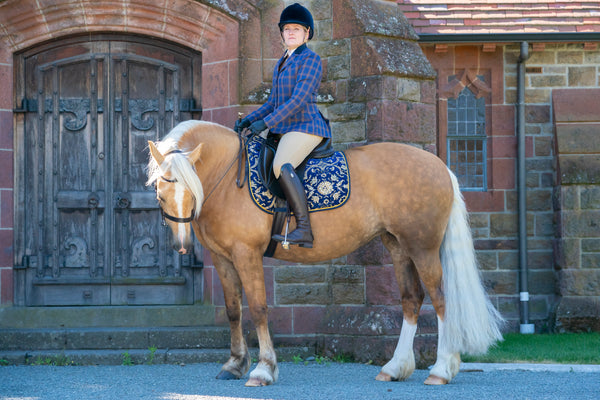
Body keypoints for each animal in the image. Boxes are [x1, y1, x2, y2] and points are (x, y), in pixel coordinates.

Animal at [148, 119, 504, 388]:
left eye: (189, 190)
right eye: (160, 194)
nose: (182, 244)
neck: (227, 177)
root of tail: (439, 165)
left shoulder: (246, 254)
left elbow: (259, 309)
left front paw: (263, 369)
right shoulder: (223, 258)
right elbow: (234, 311)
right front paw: (234, 365)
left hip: (422, 246)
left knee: (441, 300)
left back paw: (441, 369)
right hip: (398, 245)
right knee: (411, 299)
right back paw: (395, 368)